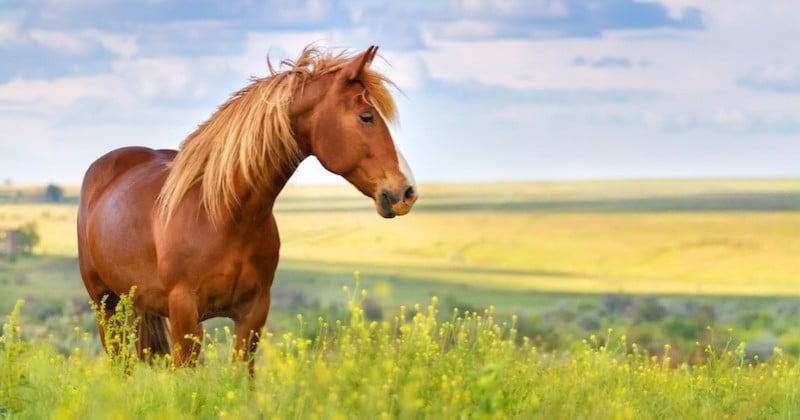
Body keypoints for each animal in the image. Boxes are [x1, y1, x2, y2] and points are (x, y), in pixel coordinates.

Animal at [76, 44, 418, 370]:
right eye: (366, 116)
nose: (407, 192)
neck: (223, 215)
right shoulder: (184, 314)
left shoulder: (253, 314)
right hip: (105, 304)